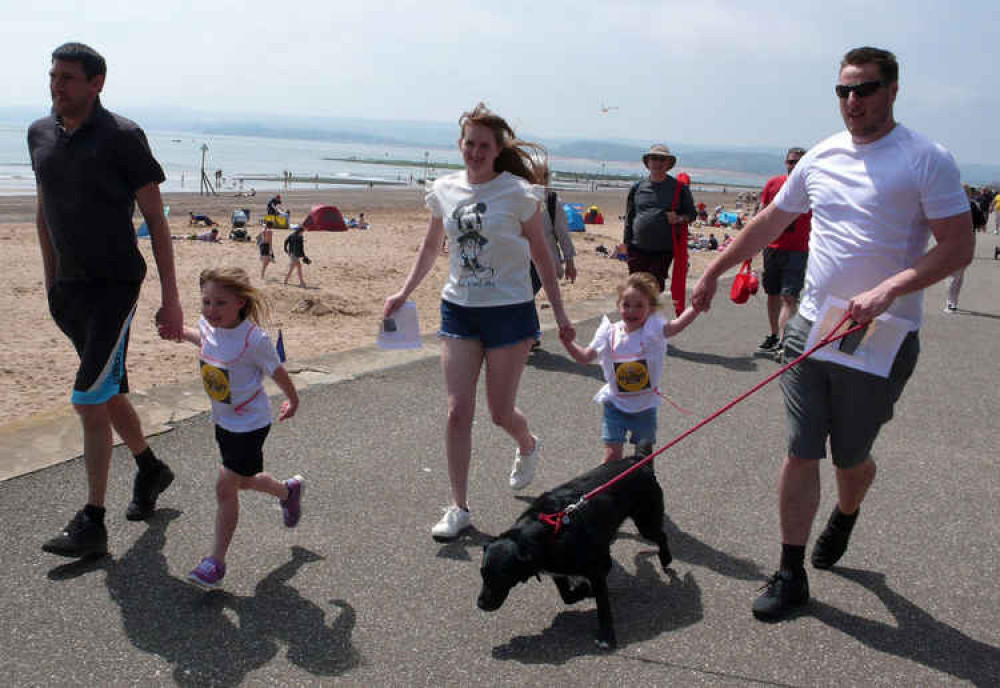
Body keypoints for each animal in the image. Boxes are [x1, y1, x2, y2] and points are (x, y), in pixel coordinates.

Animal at [476, 446, 672, 652]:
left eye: (503, 576)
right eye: (482, 574)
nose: (481, 604)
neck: (547, 533)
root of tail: (637, 460)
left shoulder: (596, 567)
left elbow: (602, 606)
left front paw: (606, 636)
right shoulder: (557, 570)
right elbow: (567, 596)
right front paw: (583, 590)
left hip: (646, 522)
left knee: (661, 536)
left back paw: (666, 558)